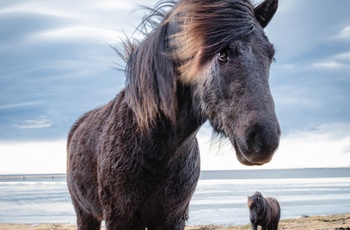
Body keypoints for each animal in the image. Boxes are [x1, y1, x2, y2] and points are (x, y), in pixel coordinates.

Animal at [66, 0, 282, 229]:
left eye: (270, 55)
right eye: (222, 53)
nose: (265, 139)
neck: (155, 148)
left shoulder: (173, 218)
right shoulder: (121, 218)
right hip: (85, 214)